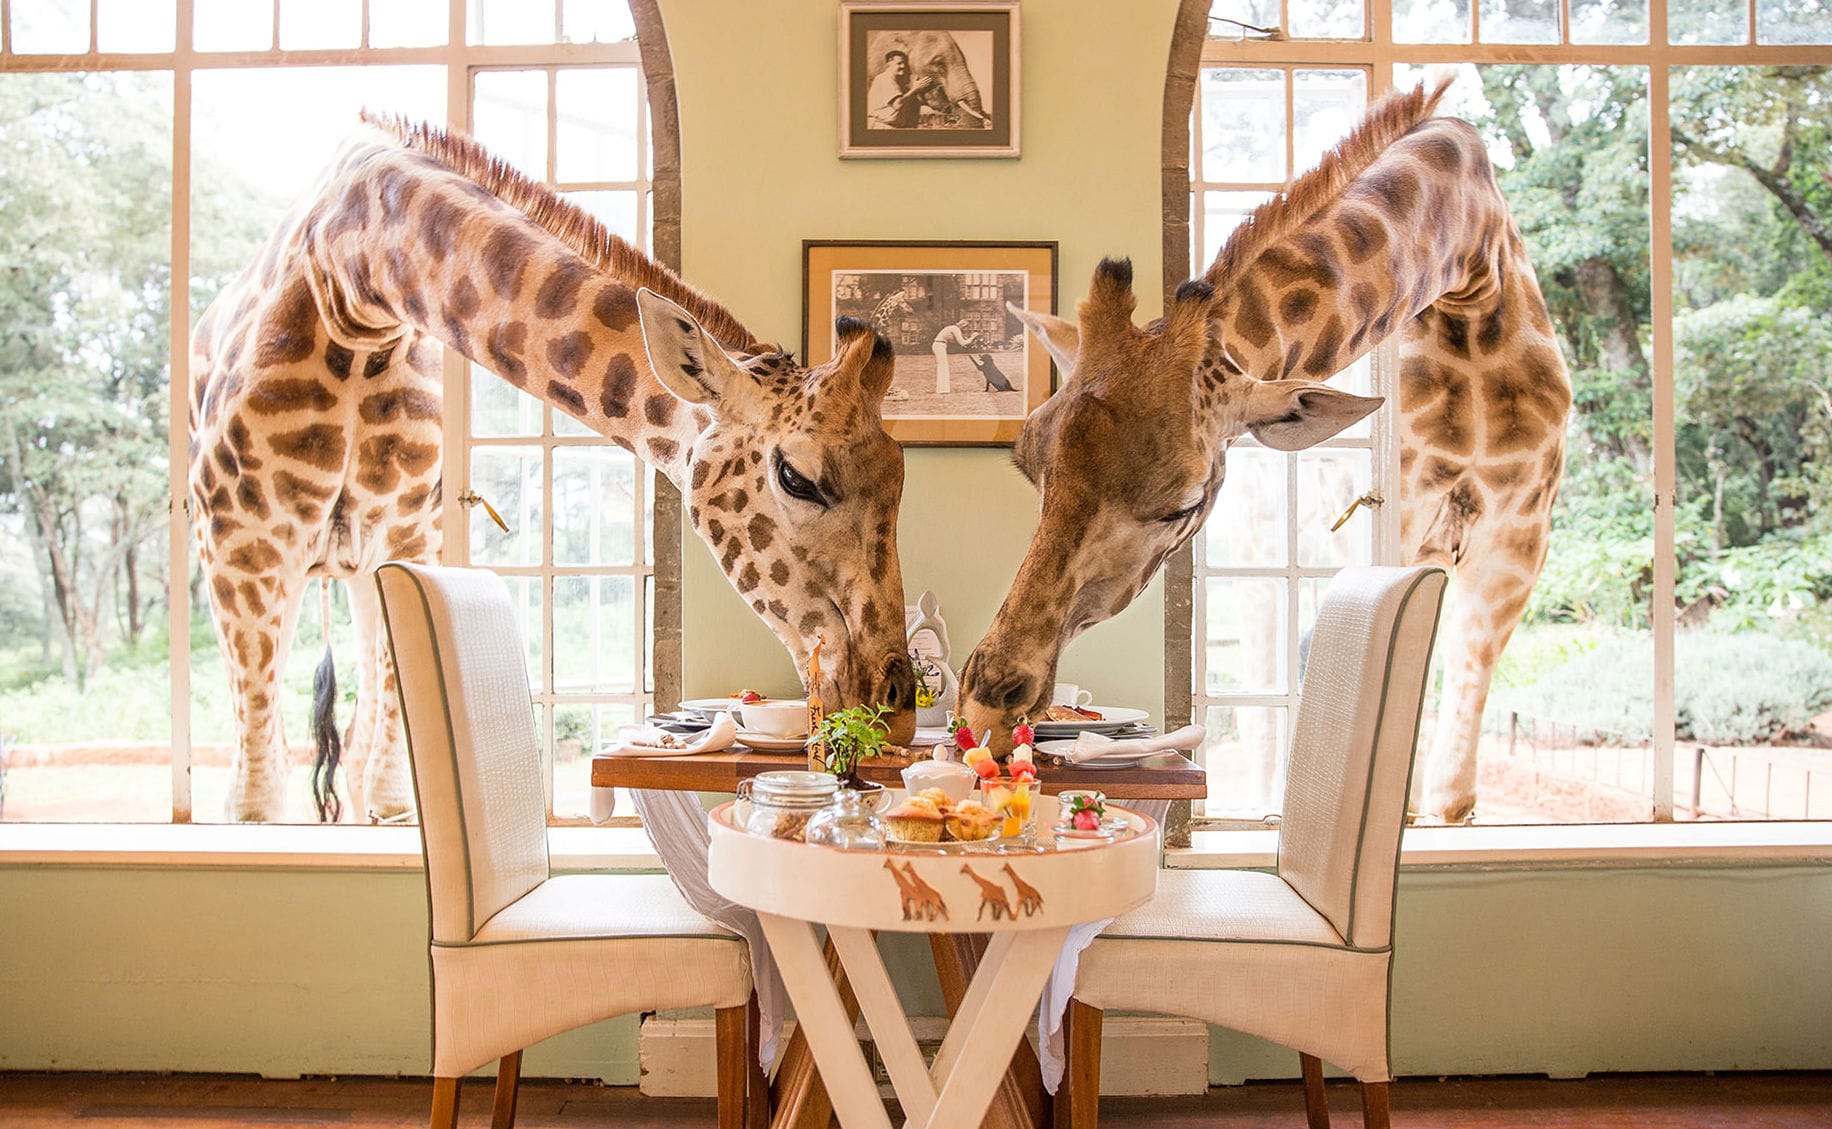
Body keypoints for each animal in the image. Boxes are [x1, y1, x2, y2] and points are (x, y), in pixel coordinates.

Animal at [189, 114, 915, 824]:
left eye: (900, 479)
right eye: (797, 478)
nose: (898, 706)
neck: (355, 282)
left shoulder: (405, 541)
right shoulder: (241, 551)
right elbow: (254, 805)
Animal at [958, 79, 1570, 823]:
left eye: (1184, 502)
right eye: (1030, 467)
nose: (985, 708)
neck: (1470, 272)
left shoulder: (1514, 546)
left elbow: (1450, 786)